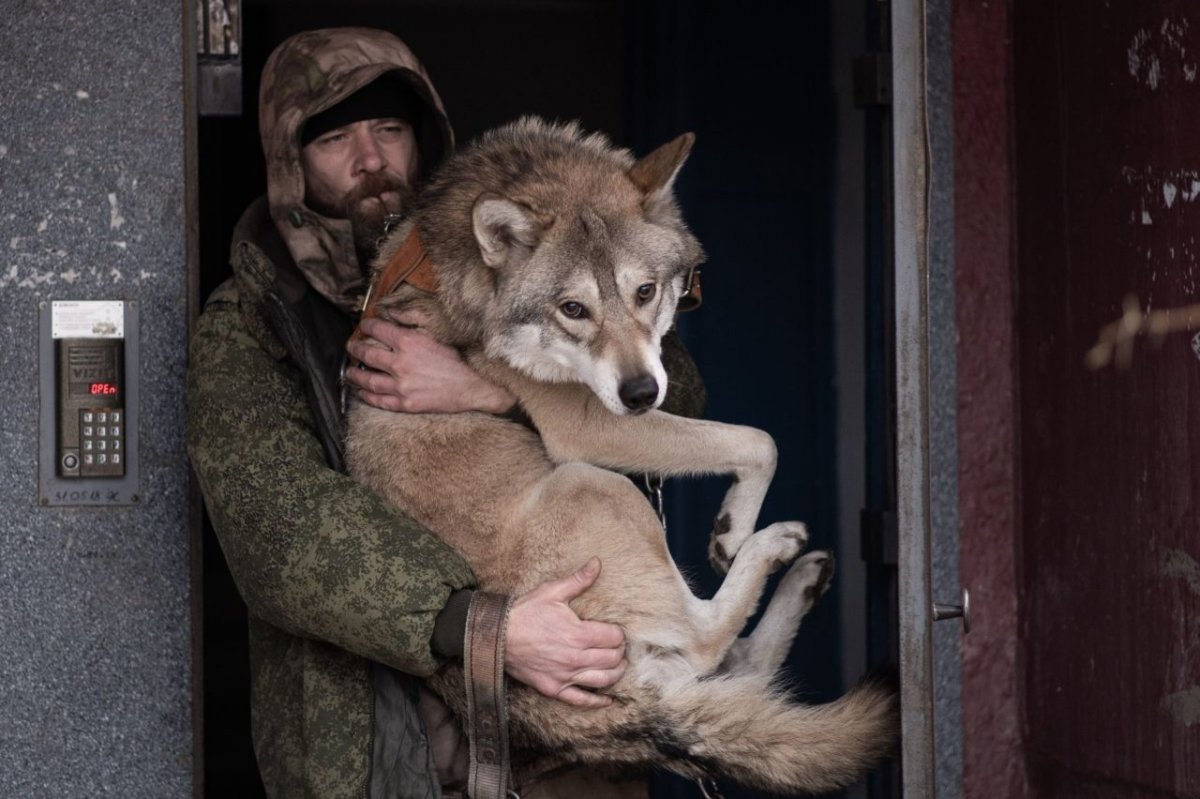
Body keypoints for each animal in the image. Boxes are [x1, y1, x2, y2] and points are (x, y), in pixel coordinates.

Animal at [345, 117, 897, 795]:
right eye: (572, 309)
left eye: (645, 291)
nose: (640, 394)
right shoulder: (587, 429)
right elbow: (758, 440)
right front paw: (735, 529)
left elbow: (748, 438)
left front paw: (729, 529)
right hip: (593, 483)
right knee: (709, 641)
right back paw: (775, 547)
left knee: (739, 668)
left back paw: (805, 575)